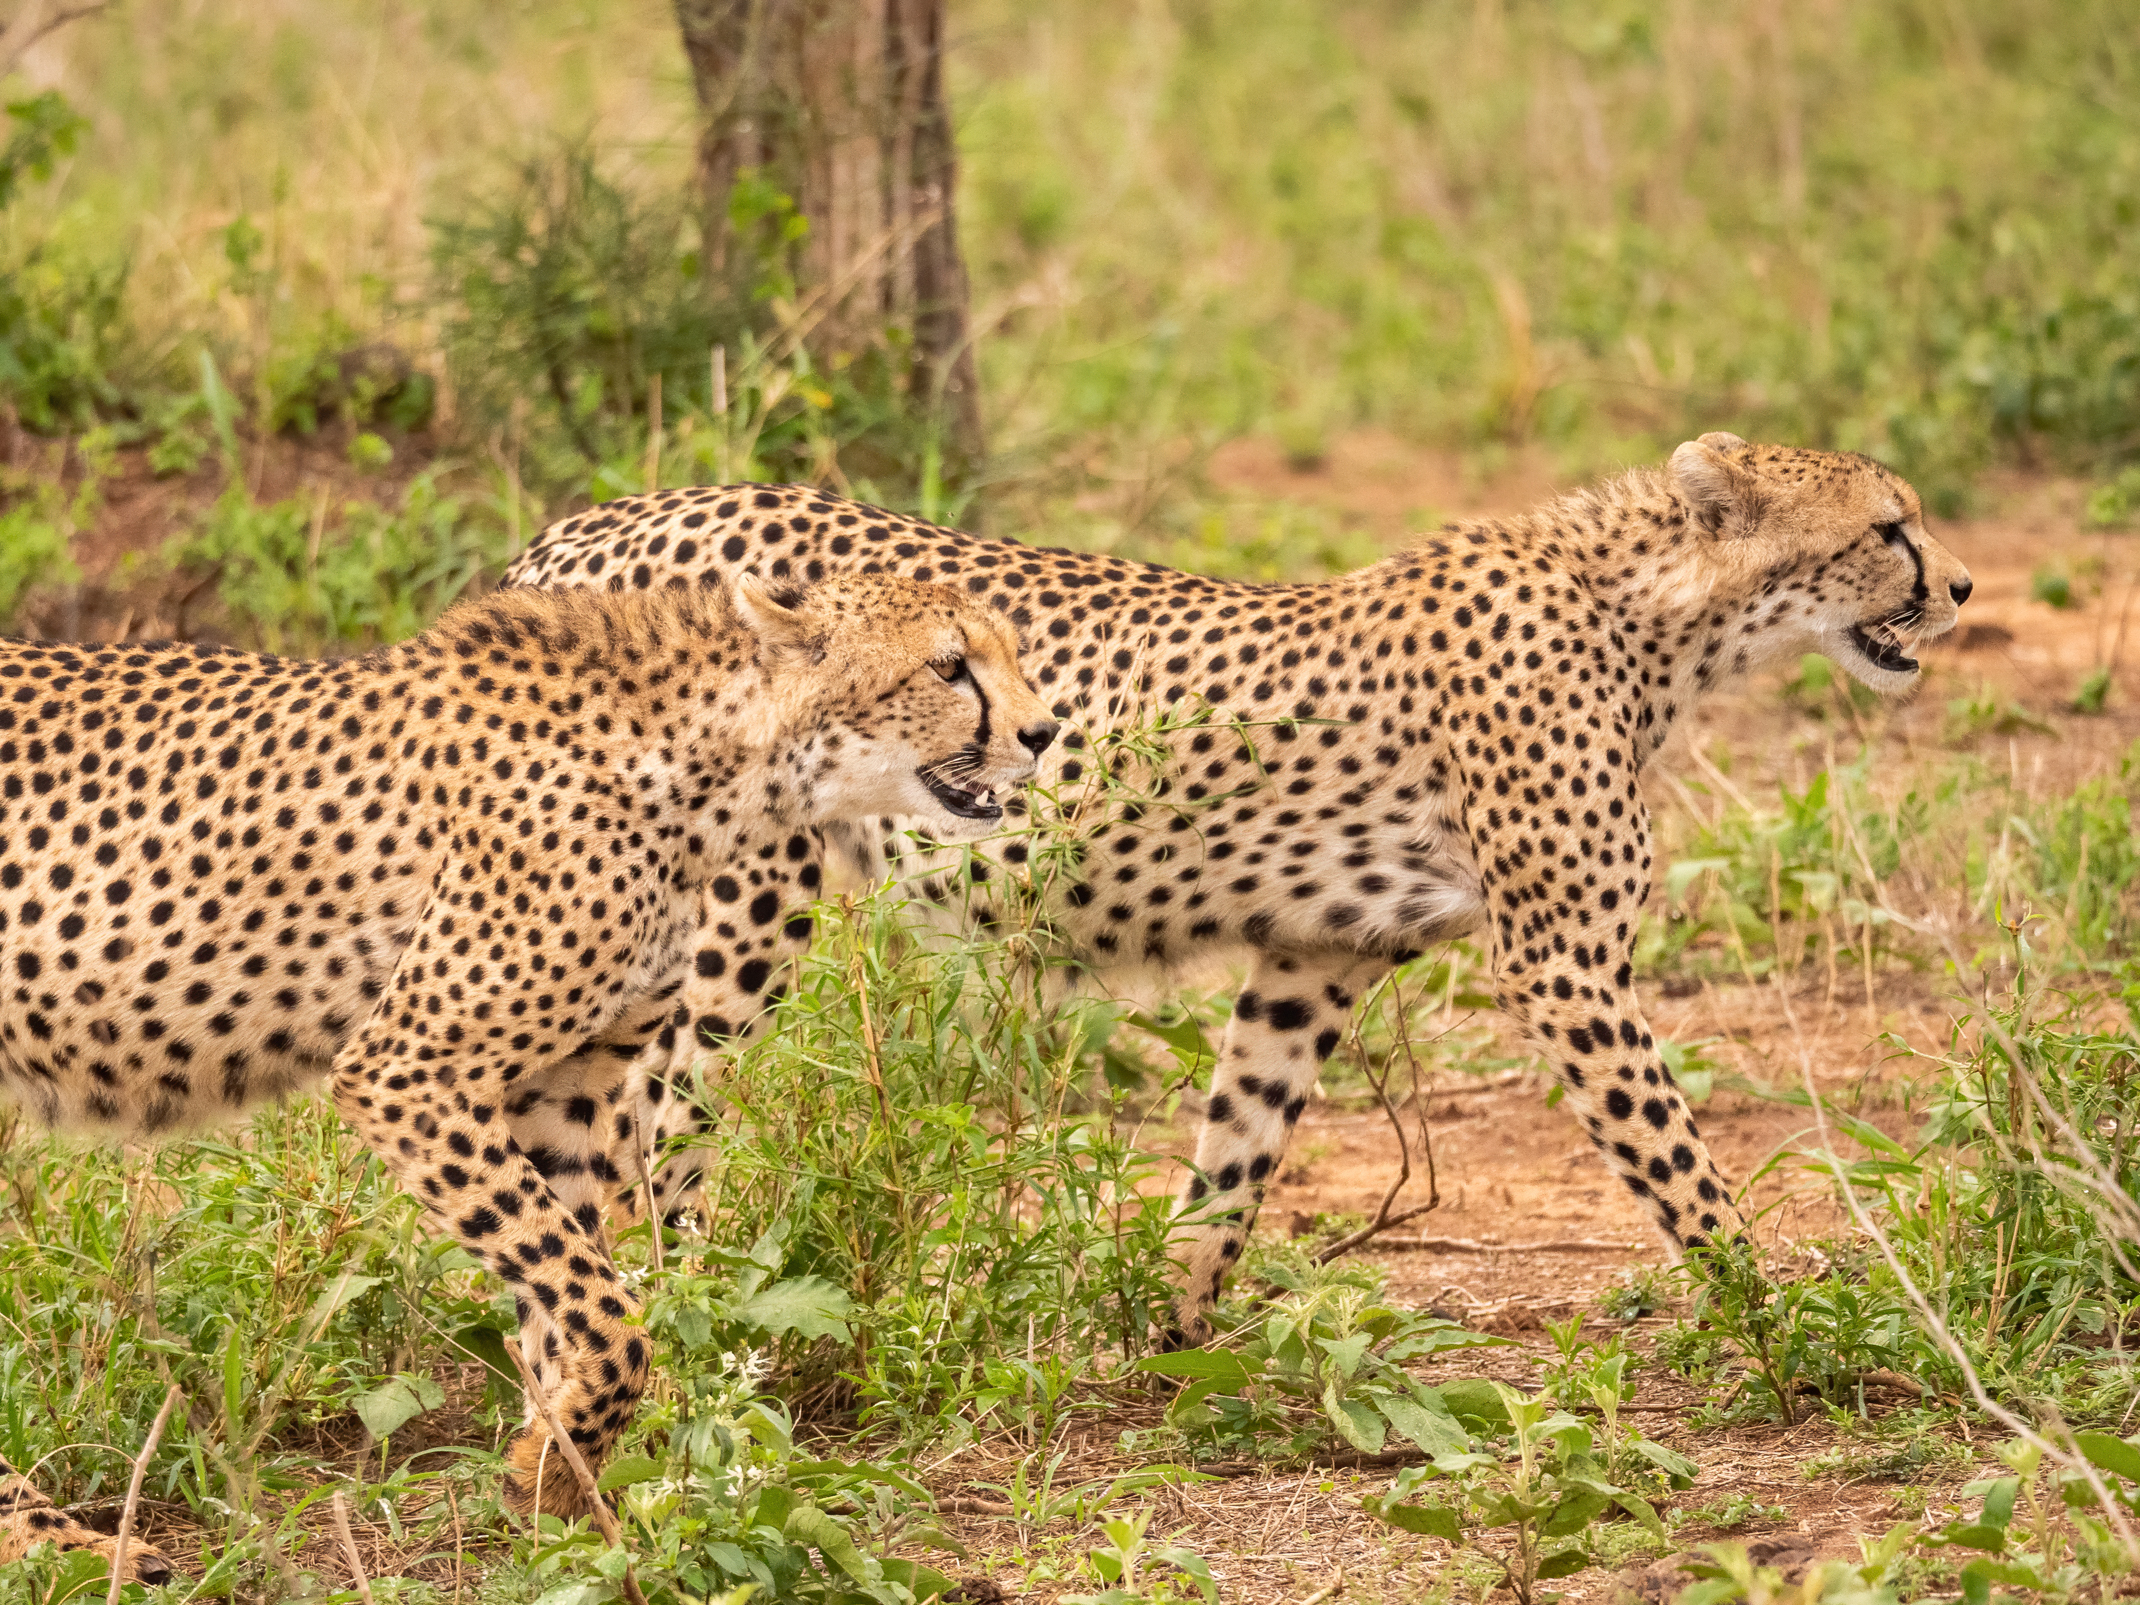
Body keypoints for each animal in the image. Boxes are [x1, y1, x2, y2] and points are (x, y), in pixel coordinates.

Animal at [0, 569, 1058, 1581]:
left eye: (1008, 652)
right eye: (949, 666)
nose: (1045, 734)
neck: (719, 767)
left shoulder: (563, 1085)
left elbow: (569, 1297)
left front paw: (565, 1489)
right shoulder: (409, 1067)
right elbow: (612, 1309)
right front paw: (563, 1476)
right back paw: (55, 1541)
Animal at [500, 433, 1972, 1346]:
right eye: (1887, 526)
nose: (1961, 585)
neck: (1658, 617)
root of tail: (592, 521)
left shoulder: (1316, 954)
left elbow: (1236, 1153)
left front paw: (1178, 1332)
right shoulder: (1562, 966)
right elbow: (1681, 1168)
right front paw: (1783, 1323)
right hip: (731, 911)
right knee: (655, 1119)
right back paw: (697, 1309)